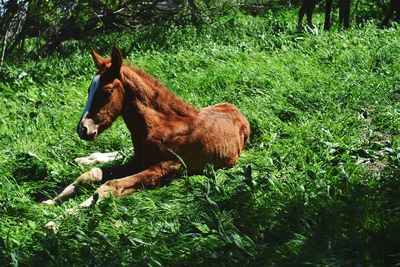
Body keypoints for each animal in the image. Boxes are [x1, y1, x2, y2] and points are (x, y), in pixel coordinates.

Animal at [43, 47, 250, 211]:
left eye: (106, 92)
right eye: (88, 90)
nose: (83, 129)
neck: (160, 126)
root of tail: (235, 109)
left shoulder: (164, 168)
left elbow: (109, 186)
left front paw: (60, 219)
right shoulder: (138, 162)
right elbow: (93, 174)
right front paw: (50, 202)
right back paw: (85, 159)